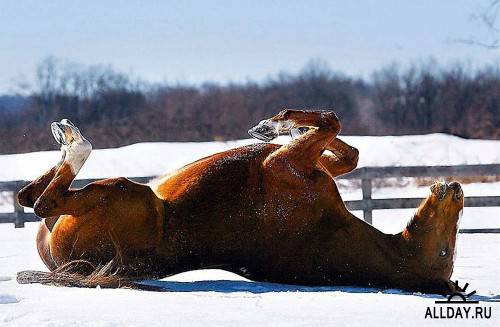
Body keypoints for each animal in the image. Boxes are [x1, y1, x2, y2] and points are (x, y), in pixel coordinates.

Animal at [16, 110, 464, 294]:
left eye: (446, 251)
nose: (457, 189)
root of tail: (75, 264)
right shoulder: (303, 164)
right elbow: (348, 152)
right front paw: (285, 126)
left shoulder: (284, 162)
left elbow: (330, 122)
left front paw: (275, 123)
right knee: (27, 196)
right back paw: (63, 137)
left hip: (127, 194)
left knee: (42, 203)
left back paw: (73, 140)